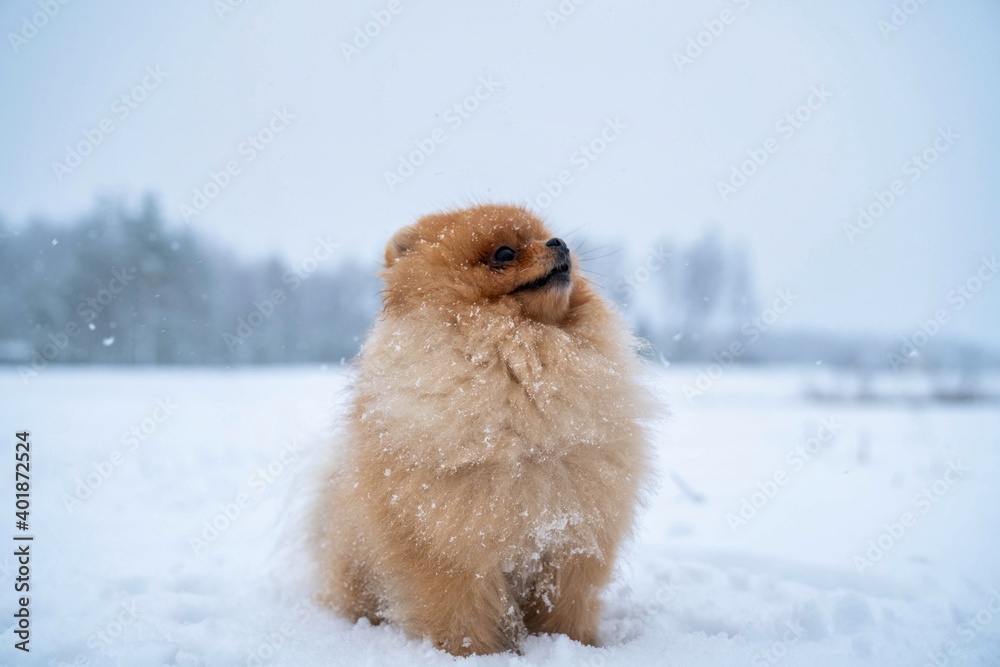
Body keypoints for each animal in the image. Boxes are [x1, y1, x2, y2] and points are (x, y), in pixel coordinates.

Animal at [312, 205, 656, 656]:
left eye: (545, 236)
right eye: (504, 253)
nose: (560, 243)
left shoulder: (572, 538)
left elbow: (567, 605)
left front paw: (572, 644)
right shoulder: (450, 546)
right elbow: (461, 613)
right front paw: (470, 655)